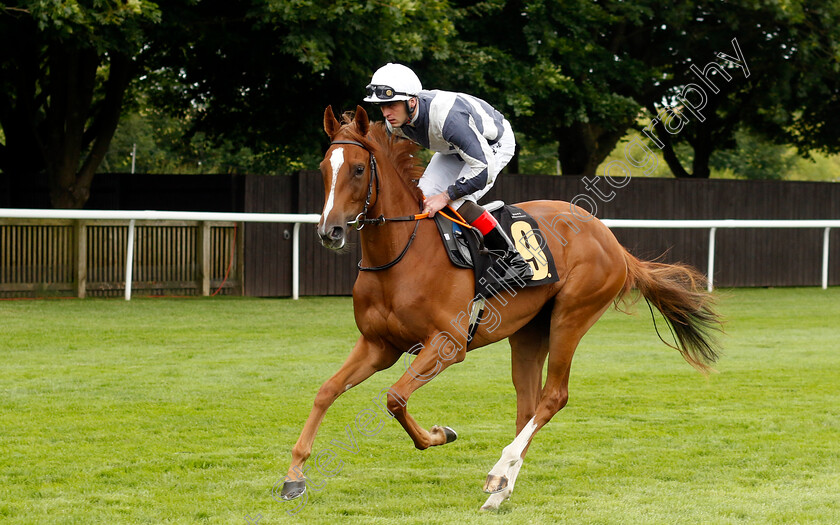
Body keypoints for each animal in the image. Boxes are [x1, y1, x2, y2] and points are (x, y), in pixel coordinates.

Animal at [284, 104, 720, 510]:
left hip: (571, 316)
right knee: (528, 404)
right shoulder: (378, 345)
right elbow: (327, 391)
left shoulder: (447, 345)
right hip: (529, 332)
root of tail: (613, 242)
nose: (329, 231)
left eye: (358, 169)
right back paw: (501, 488)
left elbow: (395, 398)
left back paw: (498, 473)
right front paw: (294, 476)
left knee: (553, 397)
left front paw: (441, 434)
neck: (401, 255)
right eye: (324, 168)